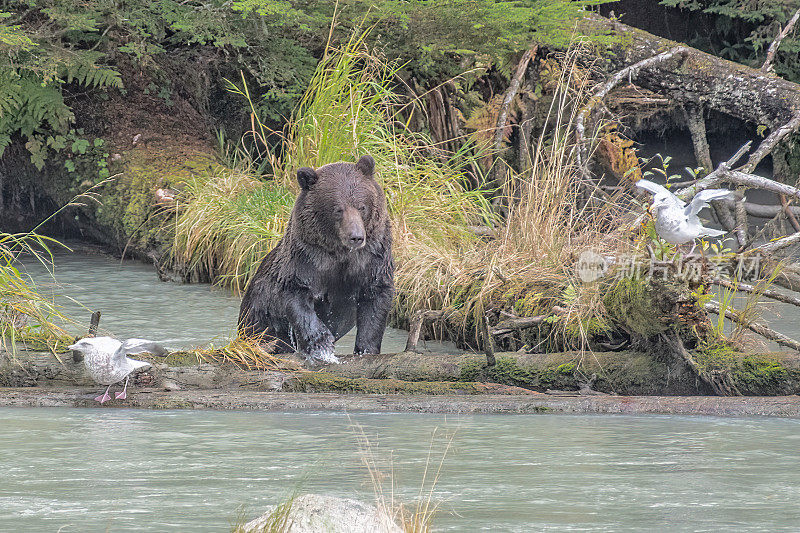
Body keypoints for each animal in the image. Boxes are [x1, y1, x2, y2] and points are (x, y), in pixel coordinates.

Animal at [239, 154, 396, 362]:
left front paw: (366, 349)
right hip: (258, 315)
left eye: (362, 206)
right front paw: (320, 343)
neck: (342, 253)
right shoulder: (307, 257)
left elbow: (375, 298)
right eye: (338, 209)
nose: (356, 236)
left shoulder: (372, 258)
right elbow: (297, 293)